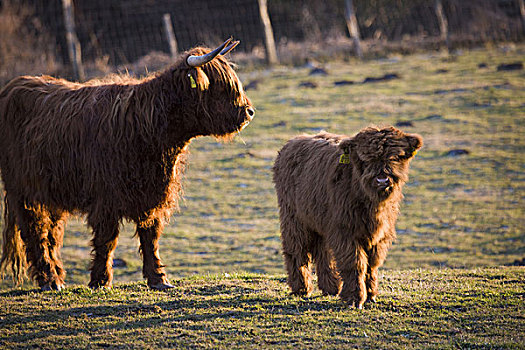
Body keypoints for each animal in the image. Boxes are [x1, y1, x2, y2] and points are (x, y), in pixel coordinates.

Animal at [0, 37, 254, 290]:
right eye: (222, 86)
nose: (248, 112)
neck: (150, 128)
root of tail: (14, 85)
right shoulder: (105, 198)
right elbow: (107, 239)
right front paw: (101, 280)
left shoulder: (153, 194)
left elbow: (151, 235)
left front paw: (159, 279)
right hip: (23, 192)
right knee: (34, 231)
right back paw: (49, 280)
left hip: (50, 192)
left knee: (52, 233)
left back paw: (58, 276)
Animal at [272, 127, 420, 308]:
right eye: (366, 159)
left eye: (395, 157)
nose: (382, 179)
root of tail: (292, 142)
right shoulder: (345, 231)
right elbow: (355, 263)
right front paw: (355, 298)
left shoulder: (380, 234)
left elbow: (372, 264)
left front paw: (371, 295)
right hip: (293, 217)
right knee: (296, 249)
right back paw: (301, 289)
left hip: (320, 220)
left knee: (323, 251)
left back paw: (331, 287)